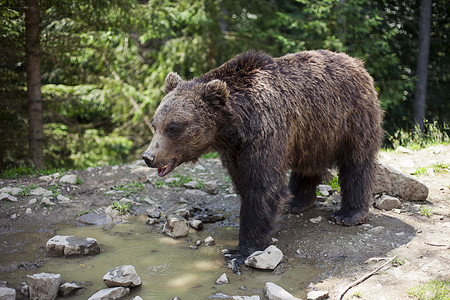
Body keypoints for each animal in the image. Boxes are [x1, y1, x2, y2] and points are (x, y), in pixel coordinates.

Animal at [143, 49, 384, 258]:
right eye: (156, 125)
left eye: (174, 128)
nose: (148, 157)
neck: (232, 128)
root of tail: (357, 62)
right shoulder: (234, 151)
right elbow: (242, 181)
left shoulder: (266, 132)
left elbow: (262, 186)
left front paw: (243, 250)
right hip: (313, 132)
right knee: (308, 164)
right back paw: (297, 201)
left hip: (352, 117)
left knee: (357, 162)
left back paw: (348, 214)